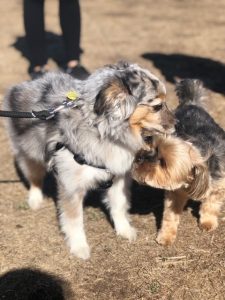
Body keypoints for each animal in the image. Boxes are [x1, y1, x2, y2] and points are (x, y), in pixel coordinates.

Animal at [3, 60, 176, 258]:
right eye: (157, 106)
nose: (177, 123)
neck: (107, 134)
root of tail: (25, 84)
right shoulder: (71, 186)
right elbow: (74, 220)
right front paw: (79, 247)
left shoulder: (118, 175)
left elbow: (119, 205)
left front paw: (124, 230)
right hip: (28, 153)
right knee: (34, 178)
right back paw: (35, 200)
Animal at [132, 79, 225, 246]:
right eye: (154, 147)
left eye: (163, 163)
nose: (140, 158)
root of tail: (191, 102)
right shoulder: (175, 193)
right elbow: (170, 216)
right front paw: (166, 235)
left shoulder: (218, 185)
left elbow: (211, 205)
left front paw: (208, 222)